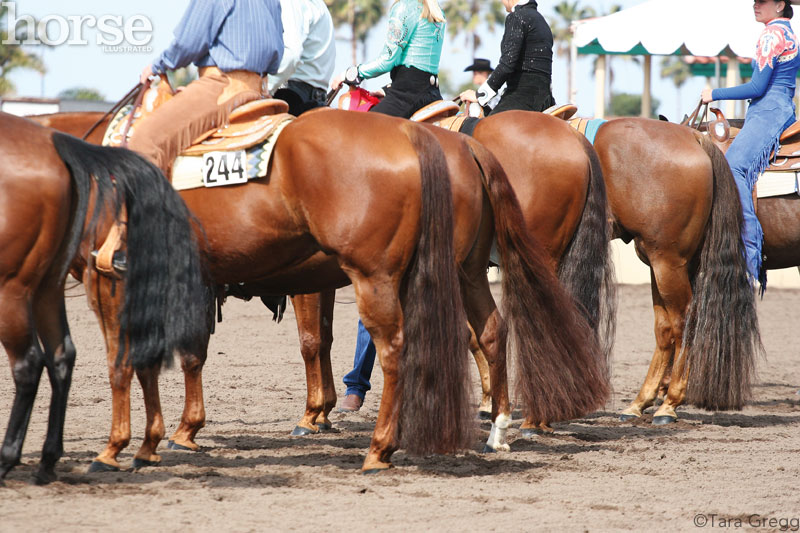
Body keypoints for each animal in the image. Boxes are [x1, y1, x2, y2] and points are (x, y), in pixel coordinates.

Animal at [0, 114, 209, 484]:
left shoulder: (105, 288)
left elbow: (123, 363)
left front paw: (118, 448)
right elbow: (149, 362)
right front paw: (149, 444)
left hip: (17, 289)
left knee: (29, 364)